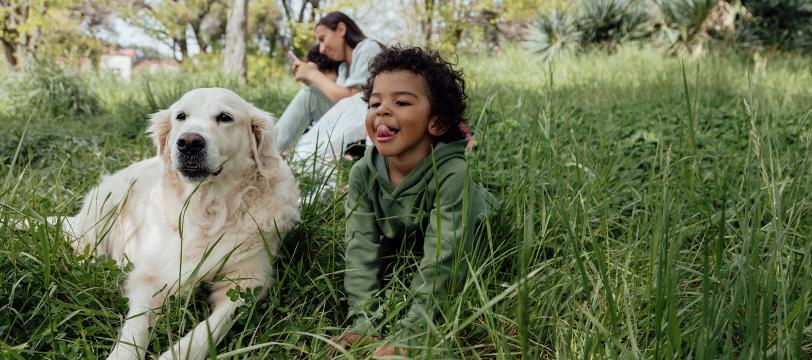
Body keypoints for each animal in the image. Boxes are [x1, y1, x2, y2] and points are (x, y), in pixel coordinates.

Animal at [58, 88, 298, 360]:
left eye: (225, 117)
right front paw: (123, 354)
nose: (189, 142)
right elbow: (135, 326)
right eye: (181, 116)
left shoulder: (247, 282)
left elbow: (211, 326)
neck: (206, 209)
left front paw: (179, 353)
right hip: (107, 204)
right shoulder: (150, 275)